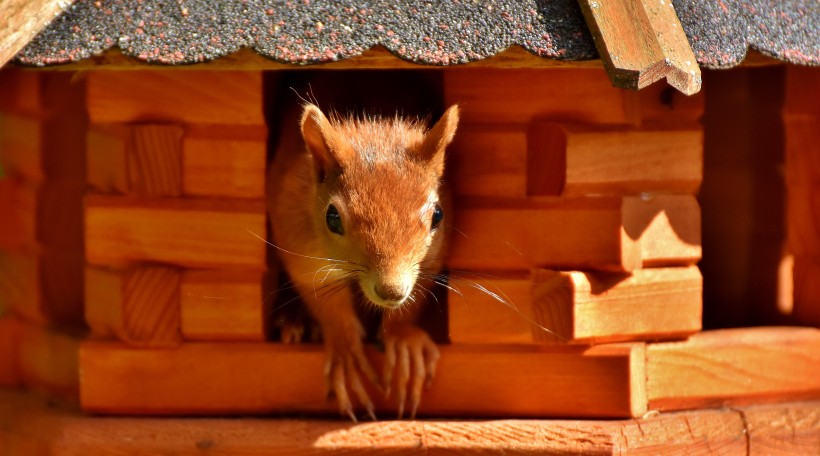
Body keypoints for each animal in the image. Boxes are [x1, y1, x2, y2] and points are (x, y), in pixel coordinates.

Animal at [270, 100, 462, 420]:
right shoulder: (298, 241)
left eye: (438, 215)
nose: (392, 291)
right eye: (332, 217)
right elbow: (322, 297)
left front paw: (404, 342)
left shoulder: (431, 260)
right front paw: (346, 352)